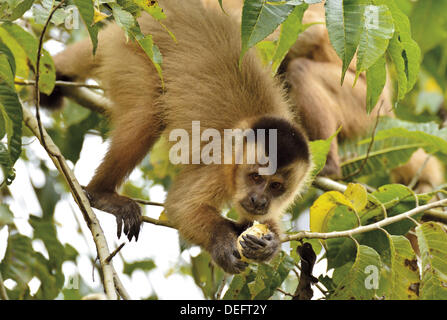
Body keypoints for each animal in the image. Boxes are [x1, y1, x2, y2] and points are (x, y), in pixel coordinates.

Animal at [43, 0, 316, 272]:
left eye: (276, 186)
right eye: (256, 177)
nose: (259, 200)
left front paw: (270, 244)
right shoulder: (217, 165)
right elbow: (181, 206)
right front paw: (221, 243)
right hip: (131, 51)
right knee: (148, 113)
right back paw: (101, 194)